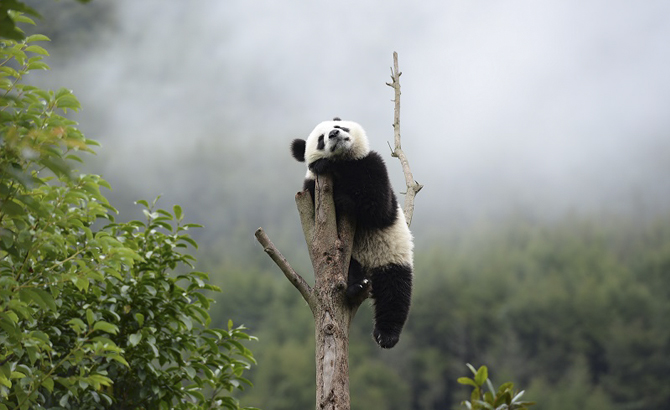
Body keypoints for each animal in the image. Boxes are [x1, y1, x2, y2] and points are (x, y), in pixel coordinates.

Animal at [292, 117, 414, 348]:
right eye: (320, 139)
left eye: (339, 127)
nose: (334, 134)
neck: (343, 160)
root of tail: (369, 266)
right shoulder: (310, 189)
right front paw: (322, 165)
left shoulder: (372, 165)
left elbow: (377, 205)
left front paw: (344, 198)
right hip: (349, 258)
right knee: (349, 270)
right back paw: (356, 286)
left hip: (391, 256)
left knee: (395, 291)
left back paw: (386, 335)